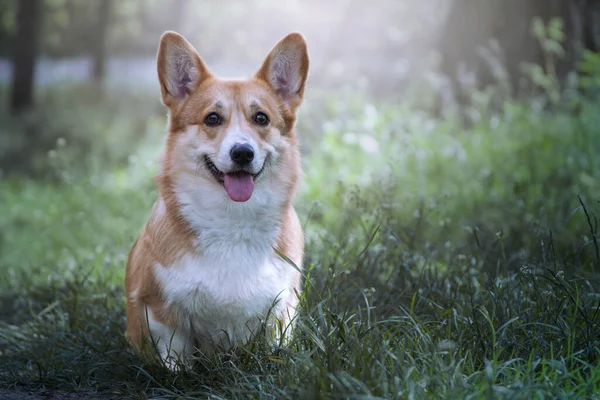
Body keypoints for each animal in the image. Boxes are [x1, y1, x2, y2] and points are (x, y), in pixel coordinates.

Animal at [123, 31, 310, 368]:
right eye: (212, 118)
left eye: (261, 118)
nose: (242, 153)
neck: (232, 220)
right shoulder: (160, 312)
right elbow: (177, 358)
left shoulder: (281, 311)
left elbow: (275, 349)